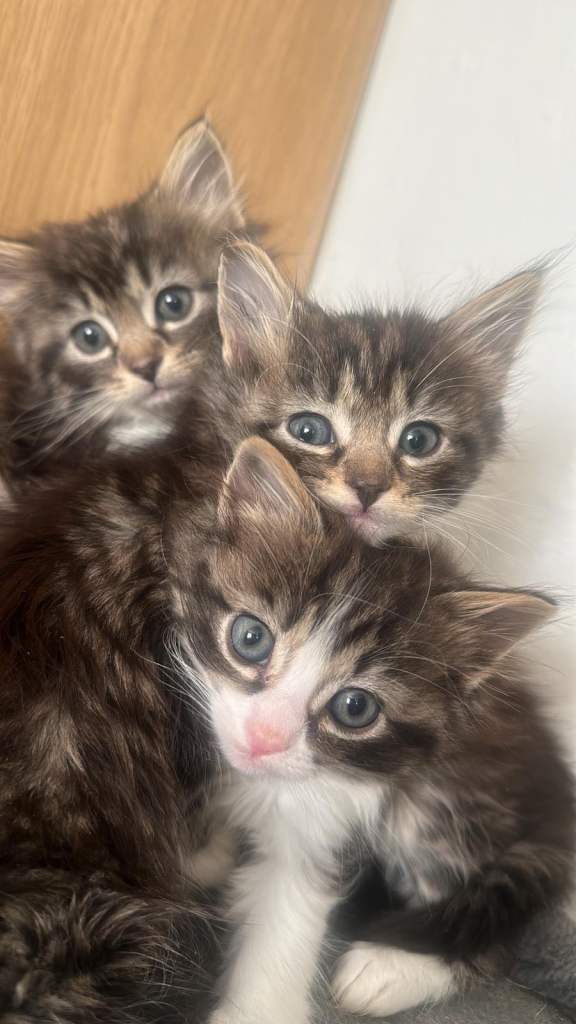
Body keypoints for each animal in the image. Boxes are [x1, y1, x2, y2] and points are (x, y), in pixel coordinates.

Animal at [169, 436, 574, 1024]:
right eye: (250, 638)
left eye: (355, 707)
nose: (265, 738)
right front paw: (202, 849)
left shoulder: (332, 807)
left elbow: (291, 899)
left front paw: (261, 1006)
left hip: (446, 797)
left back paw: (388, 969)